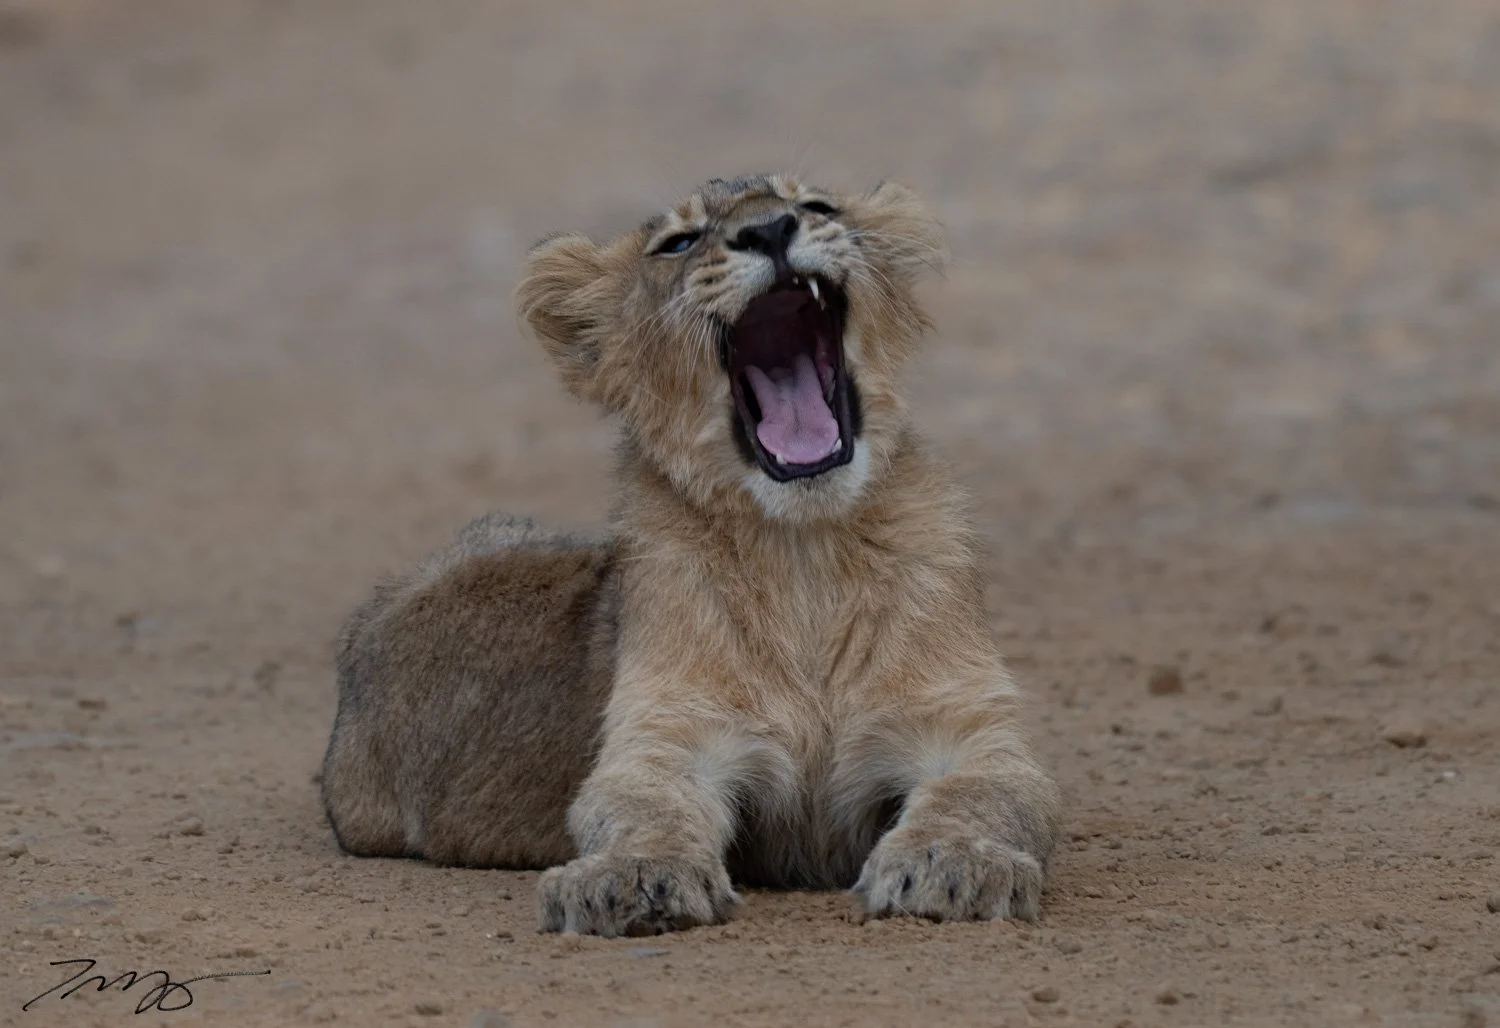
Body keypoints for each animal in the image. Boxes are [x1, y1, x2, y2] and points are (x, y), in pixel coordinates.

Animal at [321, 174, 1060, 937]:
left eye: (816, 206)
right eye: (678, 242)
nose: (769, 229)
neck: (804, 551)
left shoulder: (969, 727)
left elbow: (979, 796)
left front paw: (955, 862)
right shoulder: (663, 737)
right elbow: (647, 809)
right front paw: (630, 877)